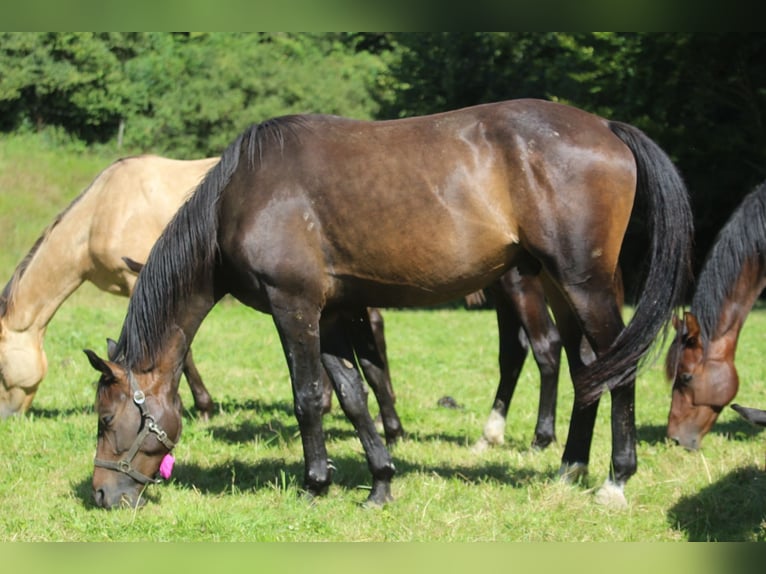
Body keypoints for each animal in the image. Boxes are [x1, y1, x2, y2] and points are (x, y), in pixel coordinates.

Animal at [85, 101, 696, 510]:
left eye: (106, 418)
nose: (102, 494)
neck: (241, 196)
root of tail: (606, 127)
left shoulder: (294, 307)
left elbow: (309, 398)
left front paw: (315, 485)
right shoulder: (331, 313)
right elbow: (354, 396)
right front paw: (379, 482)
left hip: (581, 283)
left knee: (616, 370)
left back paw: (615, 479)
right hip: (561, 285)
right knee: (587, 366)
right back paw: (570, 465)